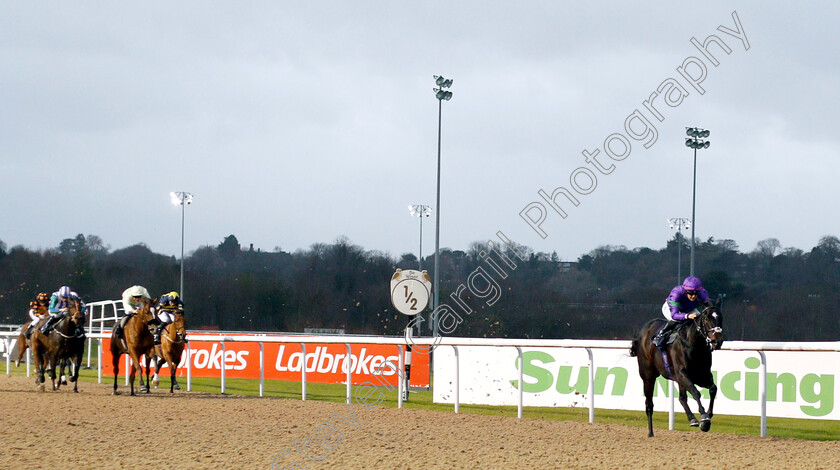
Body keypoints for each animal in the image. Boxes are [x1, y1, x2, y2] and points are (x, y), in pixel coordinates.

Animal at [632, 304, 720, 436]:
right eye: (706, 319)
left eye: (720, 318)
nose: (717, 341)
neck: (694, 345)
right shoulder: (682, 374)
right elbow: (696, 392)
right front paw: (704, 417)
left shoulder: (701, 375)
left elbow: (713, 389)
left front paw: (707, 418)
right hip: (648, 376)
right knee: (649, 404)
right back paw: (650, 432)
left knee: (682, 398)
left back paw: (692, 419)